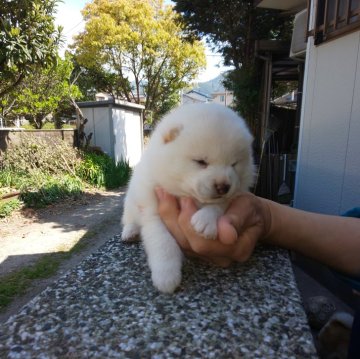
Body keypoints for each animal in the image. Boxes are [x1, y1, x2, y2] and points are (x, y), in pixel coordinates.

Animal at [122, 102, 255, 294]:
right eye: (201, 162)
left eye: (234, 164)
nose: (223, 186)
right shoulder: (153, 211)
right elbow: (163, 243)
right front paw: (166, 276)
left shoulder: (235, 192)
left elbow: (220, 204)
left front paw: (206, 220)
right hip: (130, 202)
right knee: (129, 218)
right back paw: (130, 231)